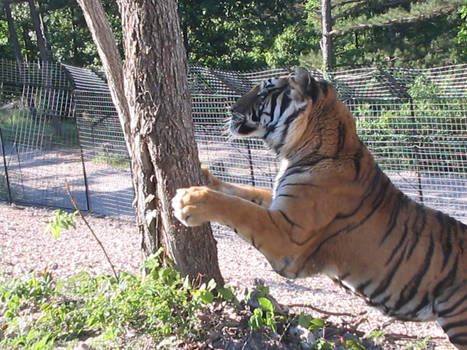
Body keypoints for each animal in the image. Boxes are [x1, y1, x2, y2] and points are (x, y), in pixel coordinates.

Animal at [173, 67, 467, 348]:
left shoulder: (288, 236)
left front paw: (190, 200)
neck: (297, 151)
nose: (230, 110)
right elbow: (243, 193)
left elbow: (239, 208)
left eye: (264, 92)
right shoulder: (279, 203)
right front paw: (204, 177)